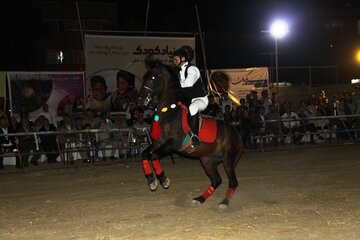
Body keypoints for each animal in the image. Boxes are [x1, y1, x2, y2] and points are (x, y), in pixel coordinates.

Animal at [139, 59, 243, 209]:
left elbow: (154, 155)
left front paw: (163, 180)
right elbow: (145, 154)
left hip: (228, 160)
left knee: (233, 182)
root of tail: (237, 133)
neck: (169, 111)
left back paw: (224, 202)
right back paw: (199, 199)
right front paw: (151, 181)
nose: (141, 100)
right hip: (207, 160)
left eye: (153, 77)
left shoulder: (173, 143)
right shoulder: (160, 141)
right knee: (216, 180)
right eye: (144, 77)